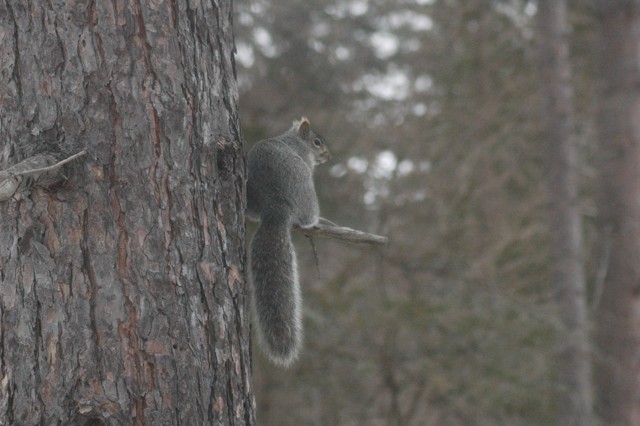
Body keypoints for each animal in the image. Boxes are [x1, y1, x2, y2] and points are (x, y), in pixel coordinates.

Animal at [246, 117, 331, 367]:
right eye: (317, 142)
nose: (328, 156)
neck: (294, 138)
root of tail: (276, 206)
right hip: (308, 196)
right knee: (308, 216)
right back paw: (316, 220)